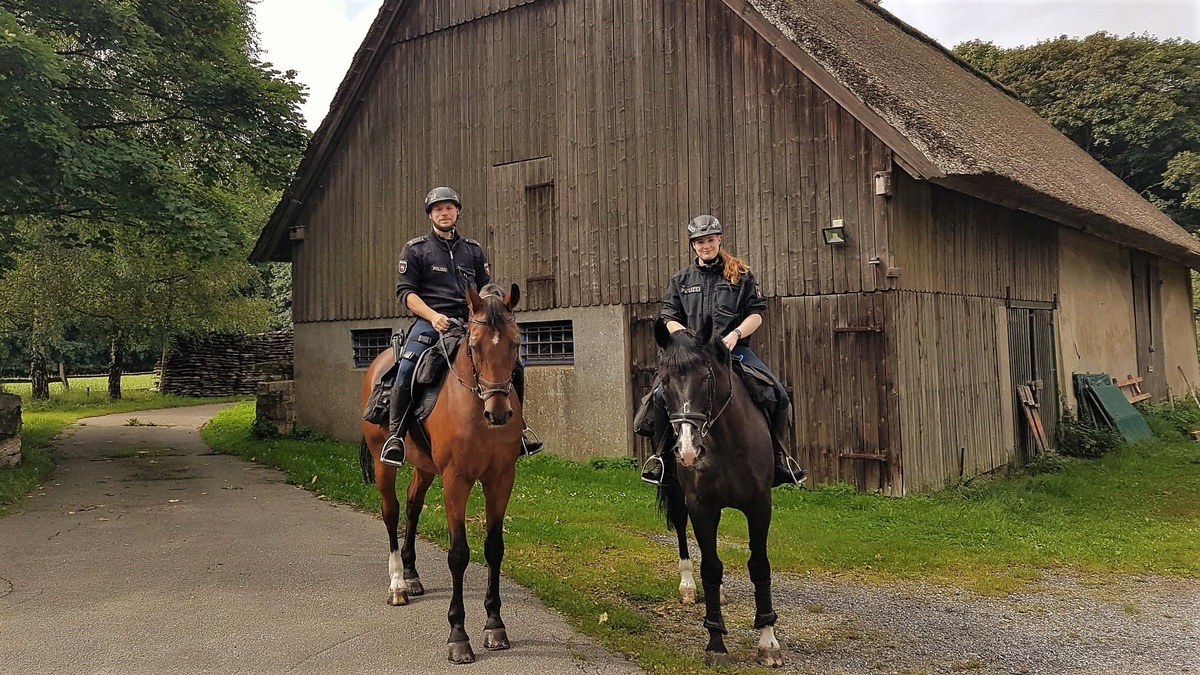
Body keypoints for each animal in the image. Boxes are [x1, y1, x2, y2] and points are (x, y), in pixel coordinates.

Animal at [357, 282, 523, 662]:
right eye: (474, 346)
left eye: (516, 342)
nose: (498, 413)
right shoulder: (455, 480)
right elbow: (458, 554)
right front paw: (458, 635)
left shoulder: (501, 479)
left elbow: (494, 547)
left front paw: (495, 625)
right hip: (383, 463)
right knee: (391, 512)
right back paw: (398, 584)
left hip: (424, 467)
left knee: (413, 505)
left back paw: (412, 574)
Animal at [652, 317, 782, 667]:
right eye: (664, 381)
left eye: (706, 376)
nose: (687, 451)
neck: (726, 441)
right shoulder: (700, 504)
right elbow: (710, 567)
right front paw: (715, 642)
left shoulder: (760, 504)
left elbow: (759, 565)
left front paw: (768, 641)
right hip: (678, 493)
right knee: (682, 532)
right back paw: (687, 585)